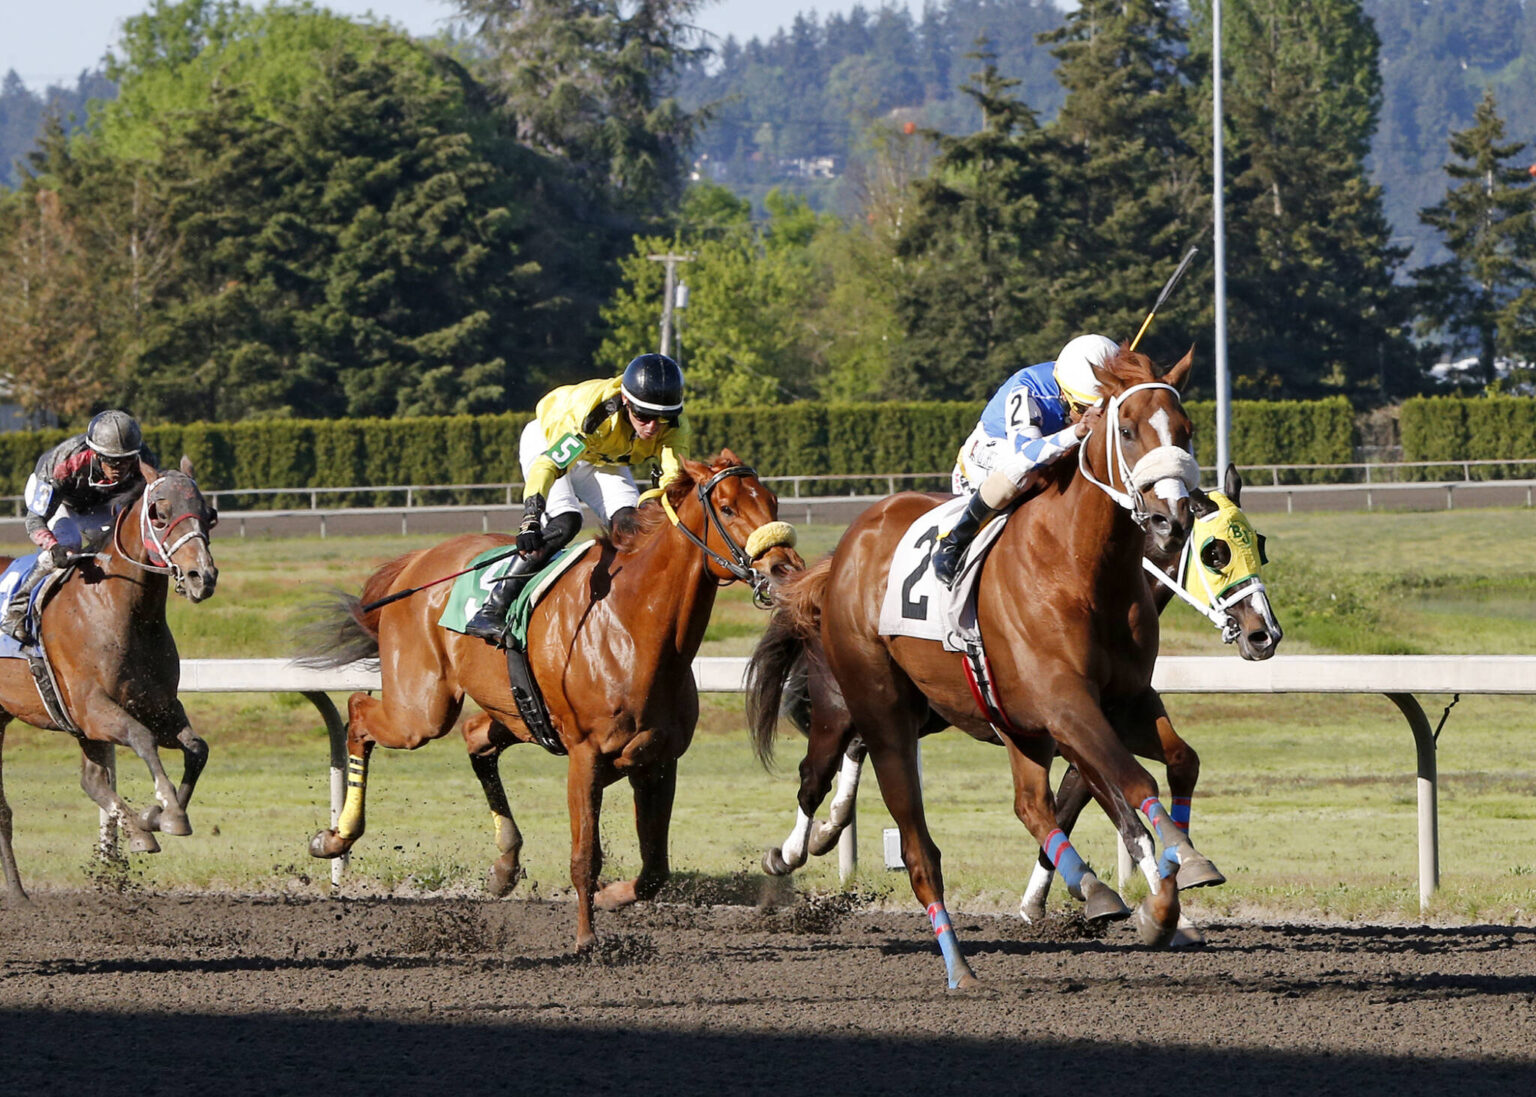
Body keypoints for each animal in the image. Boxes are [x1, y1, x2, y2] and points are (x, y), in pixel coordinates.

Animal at [0, 457, 219, 903]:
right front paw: (167, 810)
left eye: (209, 514)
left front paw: (155, 817)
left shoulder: (157, 706)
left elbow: (196, 748)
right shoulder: (93, 708)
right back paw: (17, 891)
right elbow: (142, 739)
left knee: (92, 781)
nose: (201, 576)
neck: (119, 609)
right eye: (159, 512)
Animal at [301, 448, 804, 946]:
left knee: (475, 737)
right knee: (359, 714)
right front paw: (585, 938)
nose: (785, 570)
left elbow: (655, 870)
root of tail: (418, 561)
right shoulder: (586, 755)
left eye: (773, 502)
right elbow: (585, 857)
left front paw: (610, 897)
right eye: (727, 508)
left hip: (513, 710)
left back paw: (504, 865)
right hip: (421, 710)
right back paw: (335, 838)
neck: (631, 626)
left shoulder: (658, 761)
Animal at [746, 344, 1222, 983]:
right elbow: (1133, 782)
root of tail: (848, 546)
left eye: (1186, 430)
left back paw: (1091, 888)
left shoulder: (1120, 702)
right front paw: (1172, 885)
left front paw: (1174, 881)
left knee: (1031, 803)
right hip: (876, 708)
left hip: (1002, 721)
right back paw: (951, 962)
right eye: (1125, 429)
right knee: (878, 817)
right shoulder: (1065, 704)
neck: (1078, 566)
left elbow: (1173, 764)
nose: (1173, 520)